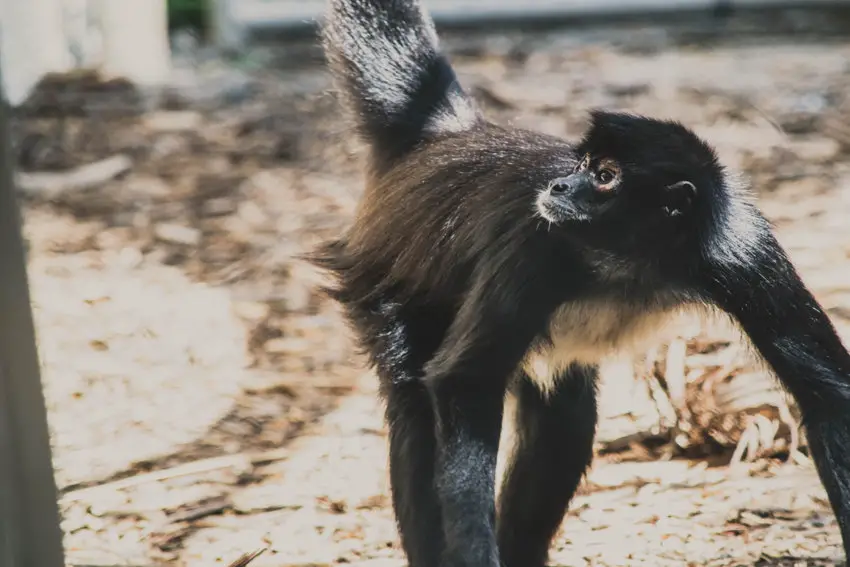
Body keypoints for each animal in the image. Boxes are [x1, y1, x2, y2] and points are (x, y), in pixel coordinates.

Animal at [308, 1, 848, 567]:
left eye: (605, 175)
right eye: (584, 165)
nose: (561, 184)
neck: (631, 262)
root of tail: (448, 137)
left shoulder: (741, 247)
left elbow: (829, 397)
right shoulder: (537, 243)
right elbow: (465, 379)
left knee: (562, 423)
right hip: (381, 281)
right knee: (416, 404)